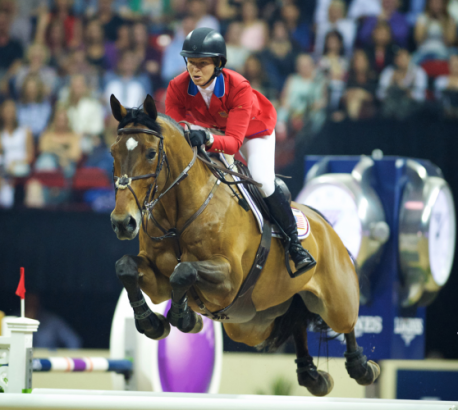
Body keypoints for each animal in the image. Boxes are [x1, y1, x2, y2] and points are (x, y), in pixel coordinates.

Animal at [108, 94, 380, 396]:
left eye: (150, 154)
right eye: (113, 152)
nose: (123, 223)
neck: (178, 215)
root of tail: (325, 223)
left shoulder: (229, 280)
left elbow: (184, 271)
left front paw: (184, 317)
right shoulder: (158, 284)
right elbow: (126, 267)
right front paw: (154, 322)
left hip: (336, 301)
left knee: (347, 323)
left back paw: (362, 367)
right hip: (252, 323)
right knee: (296, 319)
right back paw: (312, 376)